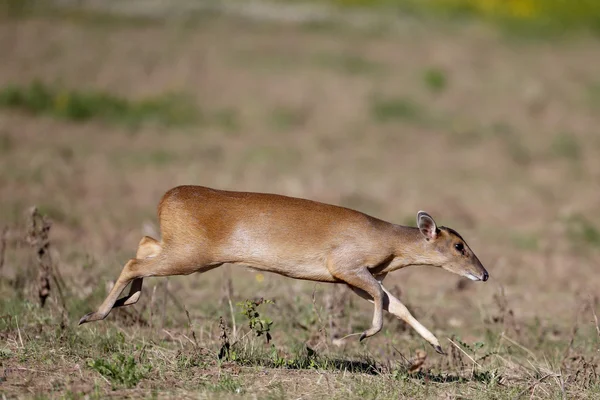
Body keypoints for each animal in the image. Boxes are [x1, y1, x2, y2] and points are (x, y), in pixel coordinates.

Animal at [79, 184, 490, 354]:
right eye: (459, 246)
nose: (484, 274)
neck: (388, 242)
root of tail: (166, 199)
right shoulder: (346, 266)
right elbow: (382, 300)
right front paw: (356, 336)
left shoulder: (358, 277)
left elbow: (397, 304)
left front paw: (438, 345)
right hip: (192, 255)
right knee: (134, 260)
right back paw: (94, 314)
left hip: (183, 249)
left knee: (144, 244)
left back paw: (124, 302)